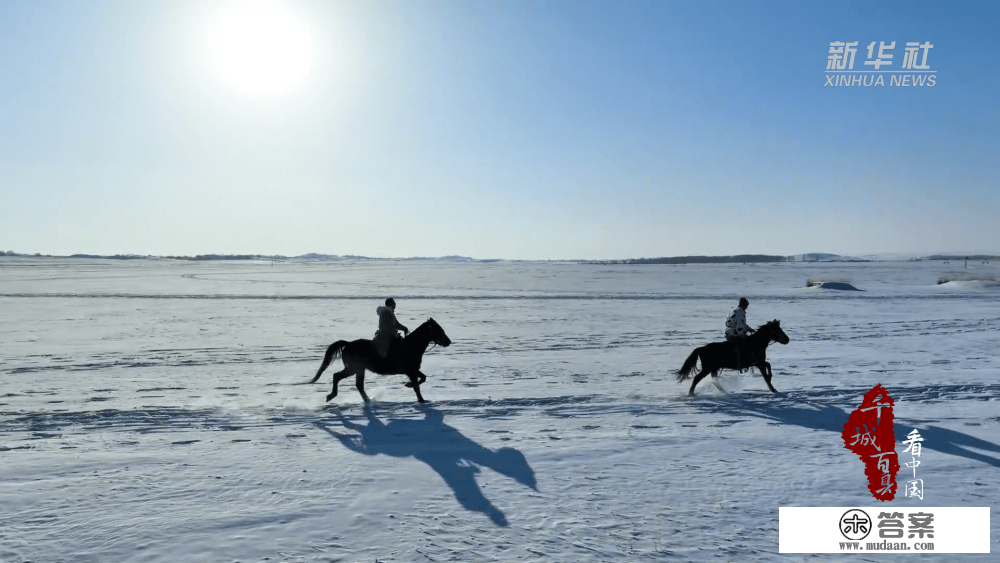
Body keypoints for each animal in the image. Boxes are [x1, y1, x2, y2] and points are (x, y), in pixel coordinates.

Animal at [310, 318, 452, 406]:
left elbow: (423, 378)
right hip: (353, 368)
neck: (411, 346)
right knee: (337, 376)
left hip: (359, 369)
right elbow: (417, 386)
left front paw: (408, 385)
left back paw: (368, 401)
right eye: (438, 329)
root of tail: (348, 344)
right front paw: (421, 400)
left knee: (358, 385)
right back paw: (331, 396)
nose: (448, 341)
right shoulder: (411, 371)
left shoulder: (413, 370)